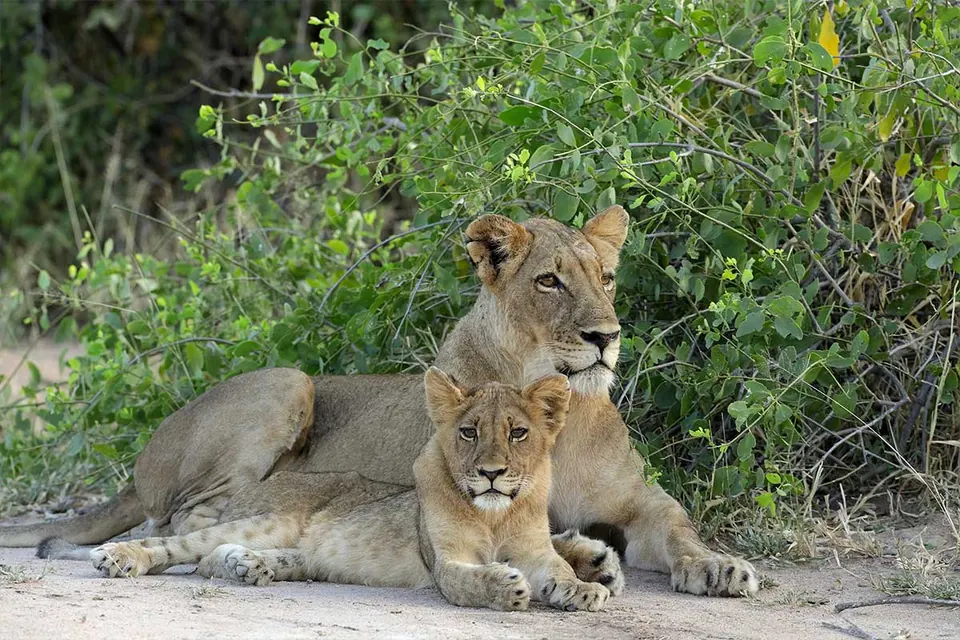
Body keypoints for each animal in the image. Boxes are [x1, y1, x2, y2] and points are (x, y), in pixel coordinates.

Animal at [86, 369, 617, 612]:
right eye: (469, 432)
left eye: (518, 433)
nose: (490, 473)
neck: (495, 512)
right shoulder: (444, 561)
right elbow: (468, 580)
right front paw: (506, 587)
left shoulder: (534, 550)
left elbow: (556, 568)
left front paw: (584, 588)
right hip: (267, 516)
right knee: (178, 545)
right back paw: (120, 558)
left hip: (297, 547)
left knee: (223, 557)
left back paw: (248, 566)